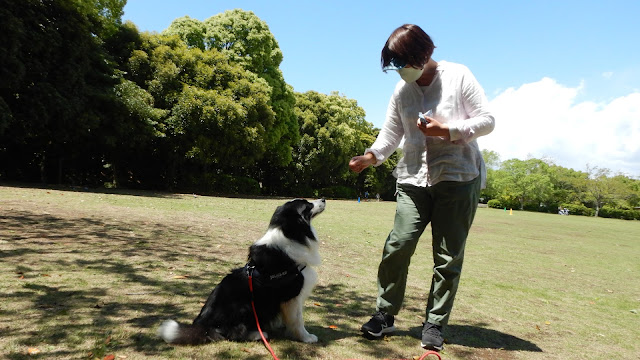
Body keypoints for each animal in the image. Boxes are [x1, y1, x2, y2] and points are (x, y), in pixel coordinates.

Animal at [156, 198, 324, 344]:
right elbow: (298, 320)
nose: (323, 199)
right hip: (246, 306)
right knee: (231, 334)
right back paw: (258, 334)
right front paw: (306, 337)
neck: (292, 235)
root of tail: (204, 326)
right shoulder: (293, 295)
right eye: (307, 205)